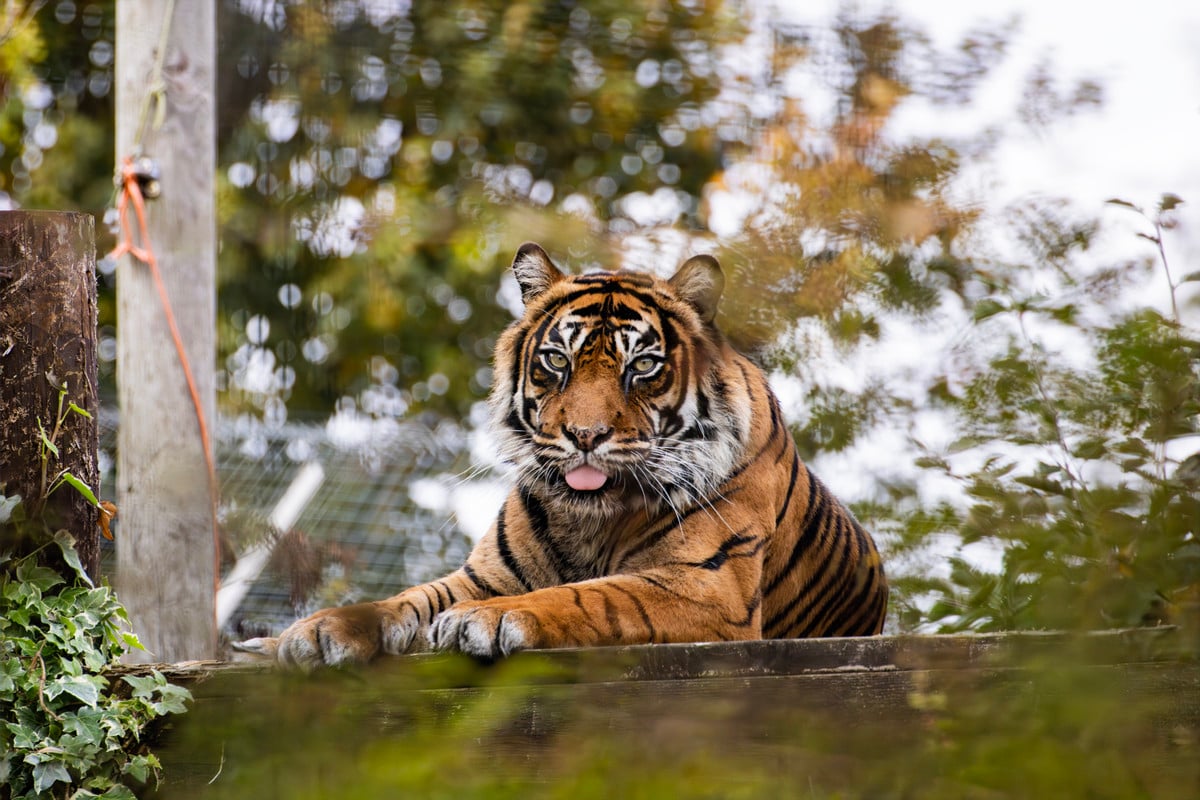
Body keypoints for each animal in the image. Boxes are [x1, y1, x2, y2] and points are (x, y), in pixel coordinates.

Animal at [239, 243, 888, 668]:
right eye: (557, 359)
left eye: (642, 366)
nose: (585, 434)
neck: (591, 517)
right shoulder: (483, 574)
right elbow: (408, 600)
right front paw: (320, 630)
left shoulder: (707, 586)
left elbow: (592, 595)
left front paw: (487, 619)